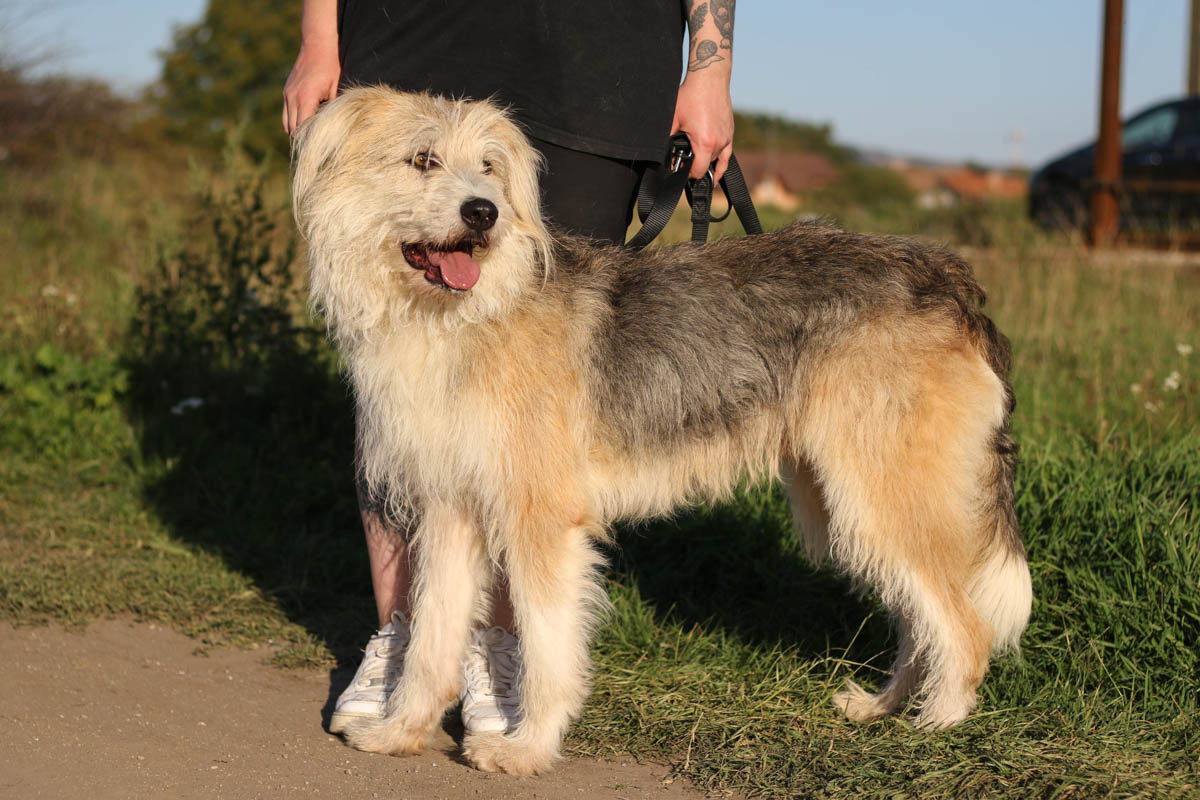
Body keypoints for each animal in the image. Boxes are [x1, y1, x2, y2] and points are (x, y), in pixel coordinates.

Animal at [291, 87, 1033, 776]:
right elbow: (430, 640)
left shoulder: (541, 521)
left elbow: (547, 649)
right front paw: (401, 731)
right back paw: (881, 709)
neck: (463, 316)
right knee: (921, 620)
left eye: (489, 167)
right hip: (850, 506)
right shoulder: (450, 512)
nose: (485, 212)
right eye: (423, 159)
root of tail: (951, 279)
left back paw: (933, 728)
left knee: (965, 626)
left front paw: (527, 748)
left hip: (881, 498)